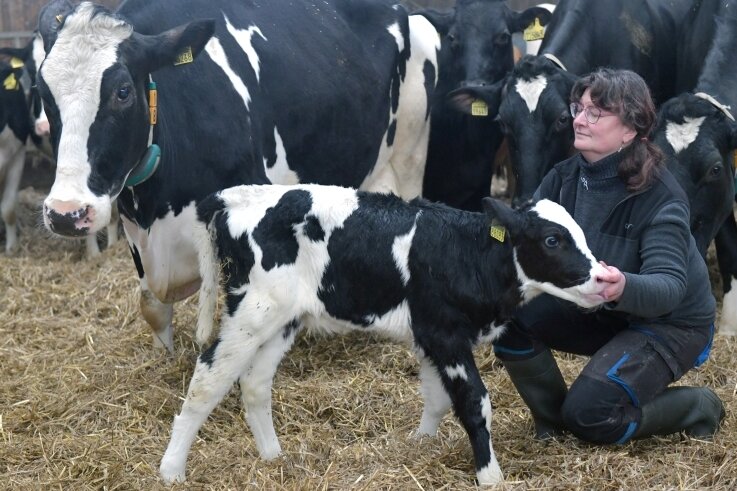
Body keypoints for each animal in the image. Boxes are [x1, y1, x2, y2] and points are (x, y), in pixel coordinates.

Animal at [38, 0, 436, 354]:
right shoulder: (136, 228)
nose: (66, 213)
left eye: (122, 92)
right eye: (42, 93)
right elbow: (153, 309)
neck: (157, 206)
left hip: (410, 157)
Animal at [158, 185, 608, 488]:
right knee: (209, 377)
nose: (604, 279)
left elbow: (437, 398)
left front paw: (421, 444)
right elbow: (474, 402)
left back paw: (273, 458)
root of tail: (229, 196)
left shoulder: (429, 335)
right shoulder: (447, 335)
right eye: (552, 239)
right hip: (252, 311)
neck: (466, 254)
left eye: (583, 233)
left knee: (254, 382)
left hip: (284, 319)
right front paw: (490, 476)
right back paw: (171, 470)